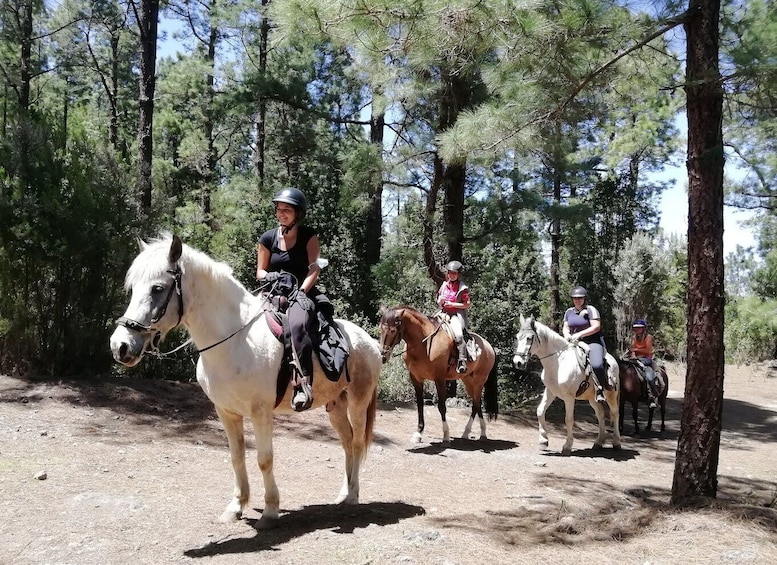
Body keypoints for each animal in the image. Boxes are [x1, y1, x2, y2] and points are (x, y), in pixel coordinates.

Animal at [109, 232, 382, 524]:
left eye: (157, 288)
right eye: (133, 288)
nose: (120, 346)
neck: (235, 341)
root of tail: (370, 342)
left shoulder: (261, 413)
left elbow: (264, 459)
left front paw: (271, 511)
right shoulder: (226, 412)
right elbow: (237, 457)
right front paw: (236, 506)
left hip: (358, 402)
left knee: (356, 442)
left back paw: (353, 495)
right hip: (335, 406)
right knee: (347, 443)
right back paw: (343, 493)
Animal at [378, 306, 500, 442]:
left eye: (393, 330)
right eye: (381, 328)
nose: (383, 356)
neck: (423, 344)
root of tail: (489, 347)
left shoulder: (440, 378)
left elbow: (442, 406)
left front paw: (446, 435)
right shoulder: (416, 378)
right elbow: (420, 404)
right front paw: (418, 433)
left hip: (479, 381)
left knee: (476, 404)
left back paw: (479, 433)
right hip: (468, 382)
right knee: (476, 404)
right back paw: (469, 433)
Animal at [512, 312, 620, 454]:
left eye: (530, 338)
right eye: (517, 337)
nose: (518, 362)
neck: (559, 362)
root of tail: (612, 359)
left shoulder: (569, 397)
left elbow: (568, 420)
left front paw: (567, 446)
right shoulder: (550, 391)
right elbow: (540, 411)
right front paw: (543, 441)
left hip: (612, 395)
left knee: (615, 413)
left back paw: (616, 443)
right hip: (592, 398)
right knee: (600, 414)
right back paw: (598, 442)